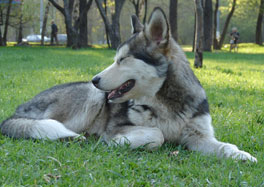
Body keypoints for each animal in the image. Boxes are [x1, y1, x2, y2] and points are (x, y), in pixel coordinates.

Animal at [0, 7, 256, 162]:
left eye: (122, 60)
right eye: (116, 58)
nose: (95, 79)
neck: (166, 104)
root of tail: (18, 110)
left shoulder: (199, 137)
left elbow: (226, 146)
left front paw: (243, 155)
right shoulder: (118, 126)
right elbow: (157, 135)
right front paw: (120, 142)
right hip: (91, 98)